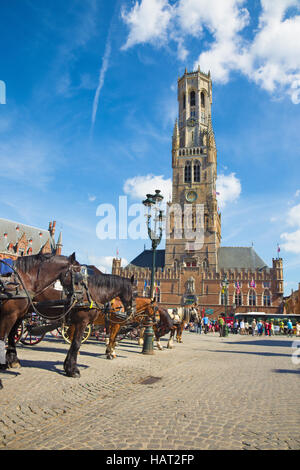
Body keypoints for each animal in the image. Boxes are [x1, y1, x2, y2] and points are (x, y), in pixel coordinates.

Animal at [0, 252, 79, 388]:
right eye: (78, 271)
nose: (79, 297)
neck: (24, 278)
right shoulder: (9, 315)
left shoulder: (17, 314)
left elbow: (11, 334)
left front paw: (12, 361)